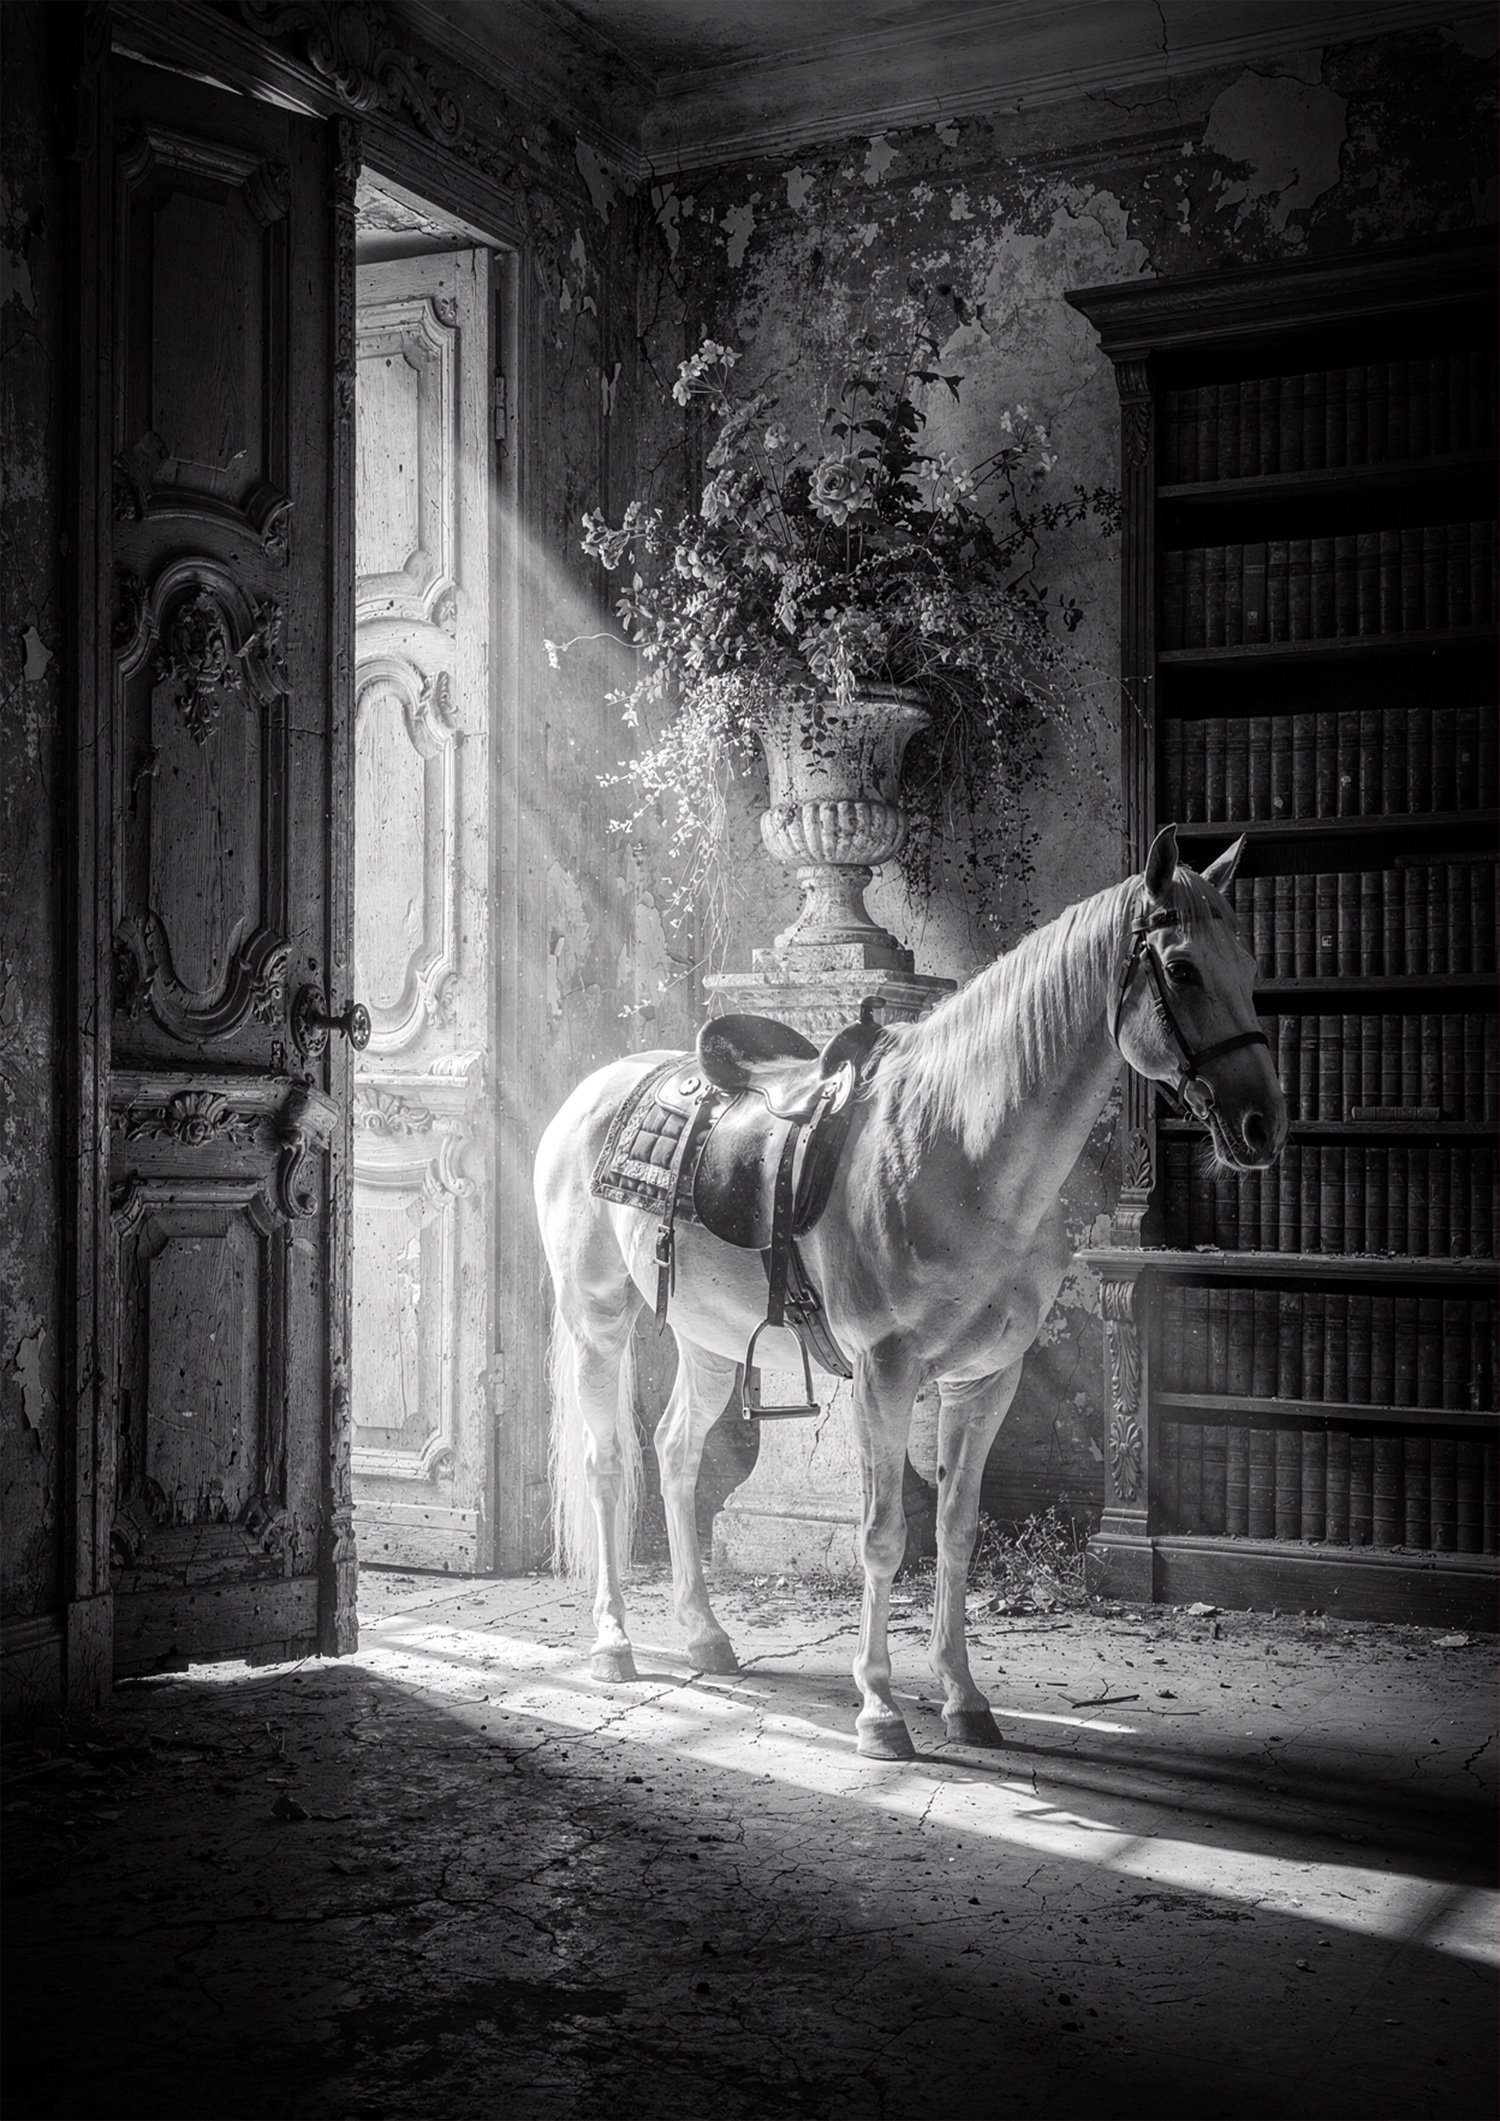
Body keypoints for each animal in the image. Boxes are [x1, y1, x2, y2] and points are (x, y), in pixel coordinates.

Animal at [533, 824, 1287, 1759]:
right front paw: (880, 1707)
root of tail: (590, 1094)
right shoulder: (885, 1374)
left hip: (707, 1337)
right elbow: (882, 1535)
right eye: (1182, 968)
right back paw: (613, 1643)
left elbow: (954, 1532)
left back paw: (705, 1633)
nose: (1263, 1126)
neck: (964, 1151)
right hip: (598, 1320)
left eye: (1247, 963)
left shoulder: (983, 1379)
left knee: (675, 1453)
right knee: (609, 1461)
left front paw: (963, 1696)